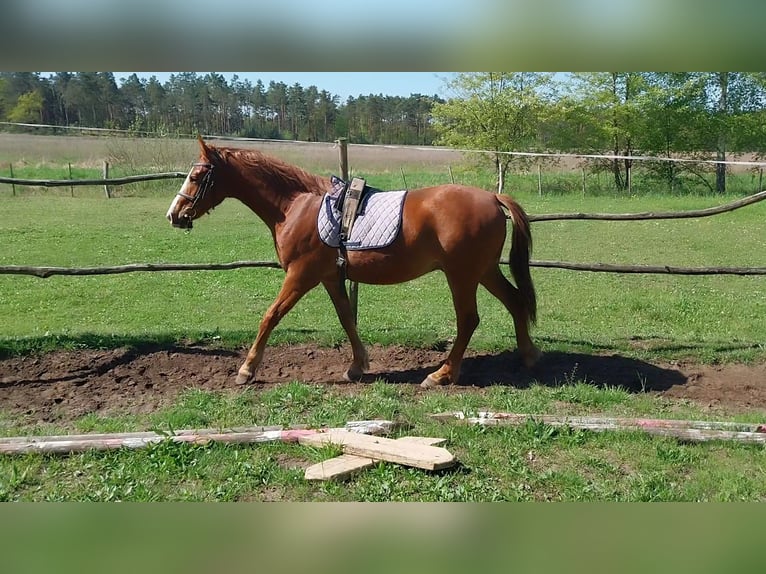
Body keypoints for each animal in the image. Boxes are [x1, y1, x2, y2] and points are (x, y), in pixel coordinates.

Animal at [166, 136, 540, 388]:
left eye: (197, 177)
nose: (174, 215)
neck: (295, 205)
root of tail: (493, 196)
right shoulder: (330, 277)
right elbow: (347, 319)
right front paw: (358, 365)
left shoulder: (300, 276)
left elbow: (270, 316)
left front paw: (247, 369)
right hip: (484, 271)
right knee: (514, 302)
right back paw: (528, 356)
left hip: (461, 275)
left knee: (468, 319)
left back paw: (442, 374)